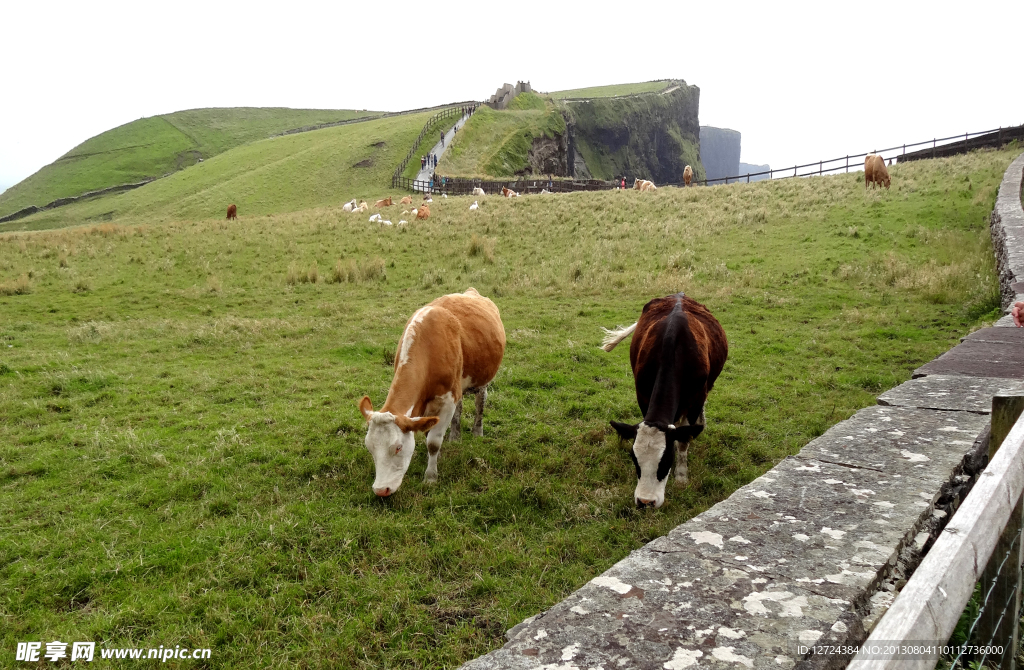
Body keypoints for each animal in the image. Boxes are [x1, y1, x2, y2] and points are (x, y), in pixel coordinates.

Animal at [358, 286, 505, 495]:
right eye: (370, 448)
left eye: (398, 447)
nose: (380, 490)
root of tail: (471, 291)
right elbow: (430, 433)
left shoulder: (448, 400)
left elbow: (433, 443)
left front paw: (430, 477)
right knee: (460, 409)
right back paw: (455, 436)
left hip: (483, 379)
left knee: (480, 403)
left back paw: (478, 431)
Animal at [598, 295, 729, 510]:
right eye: (634, 459)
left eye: (666, 460)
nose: (645, 501)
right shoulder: (642, 395)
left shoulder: (695, 398)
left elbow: (683, 440)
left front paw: (681, 477)